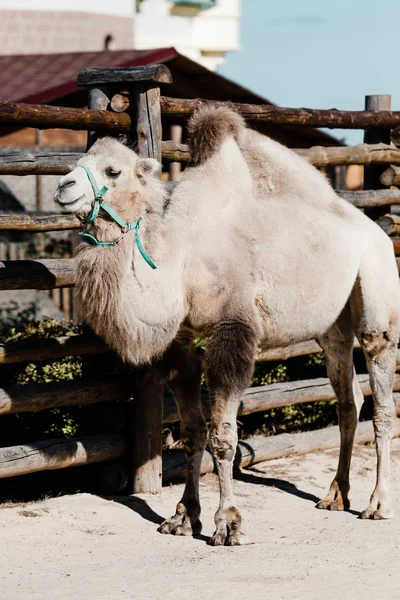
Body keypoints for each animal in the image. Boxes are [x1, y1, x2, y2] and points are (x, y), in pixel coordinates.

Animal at [54, 105, 400, 548]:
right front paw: (183, 516)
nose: (63, 186)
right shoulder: (181, 340)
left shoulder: (233, 329)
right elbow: (192, 431)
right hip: (332, 326)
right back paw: (336, 495)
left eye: (112, 170)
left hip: (377, 287)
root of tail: (375, 229)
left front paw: (228, 523)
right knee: (347, 400)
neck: (181, 261)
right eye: (78, 163)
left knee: (381, 392)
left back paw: (378, 504)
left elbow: (223, 436)